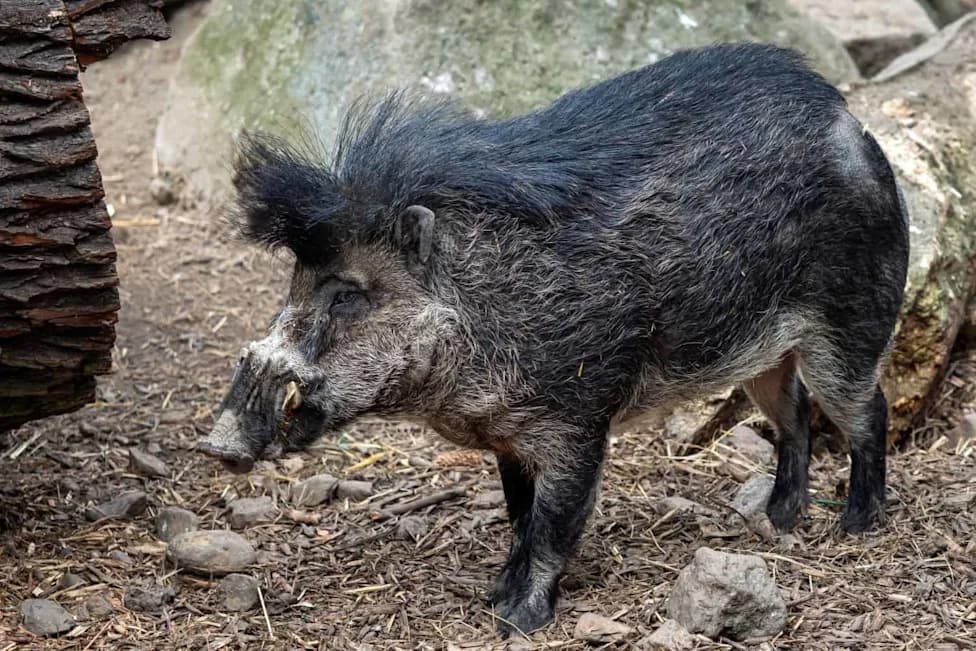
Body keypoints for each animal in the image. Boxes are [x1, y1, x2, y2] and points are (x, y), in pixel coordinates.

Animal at [199, 43, 910, 634]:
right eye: (295, 281)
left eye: (347, 293)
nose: (217, 445)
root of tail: (850, 123)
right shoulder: (507, 437)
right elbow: (521, 515)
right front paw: (494, 595)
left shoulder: (578, 422)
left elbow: (552, 524)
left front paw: (517, 622)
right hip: (765, 354)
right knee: (793, 418)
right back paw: (780, 519)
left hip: (850, 329)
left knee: (866, 413)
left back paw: (855, 527)